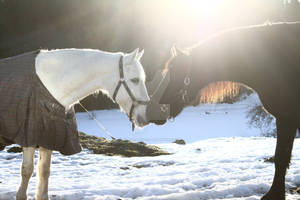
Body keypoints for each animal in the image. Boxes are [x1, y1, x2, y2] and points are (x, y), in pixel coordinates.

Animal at [14, 48, 150, 200]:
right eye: (135, 80)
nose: (145, 117)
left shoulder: (48, 136)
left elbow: (44, 171)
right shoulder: (29, 136)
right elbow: (27, 170)